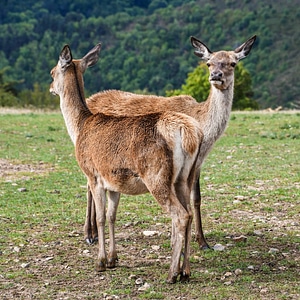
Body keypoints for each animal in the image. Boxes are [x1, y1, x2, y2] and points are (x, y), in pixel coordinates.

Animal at [49, 42, 204, 284]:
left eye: (52, 72)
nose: (50, 87)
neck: (79, 128)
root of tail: (188, 132)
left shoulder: (93, 175)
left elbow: (100, 218)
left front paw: (100, 262)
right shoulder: (114, 183)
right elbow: (112, 216)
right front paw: (114, 259)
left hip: (157, 176)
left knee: (181, 215)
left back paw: (172, 273)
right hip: (185, 177)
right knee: (187, 212)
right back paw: (186, 271)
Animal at [85, 34, 258, 248]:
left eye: (233, 63)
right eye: (208, 63)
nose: (216, 75)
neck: (204, 129)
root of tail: (89, 100)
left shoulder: (198, 163)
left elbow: (197, 198)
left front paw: (203, 241)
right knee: (89, 187)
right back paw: (89, 234)